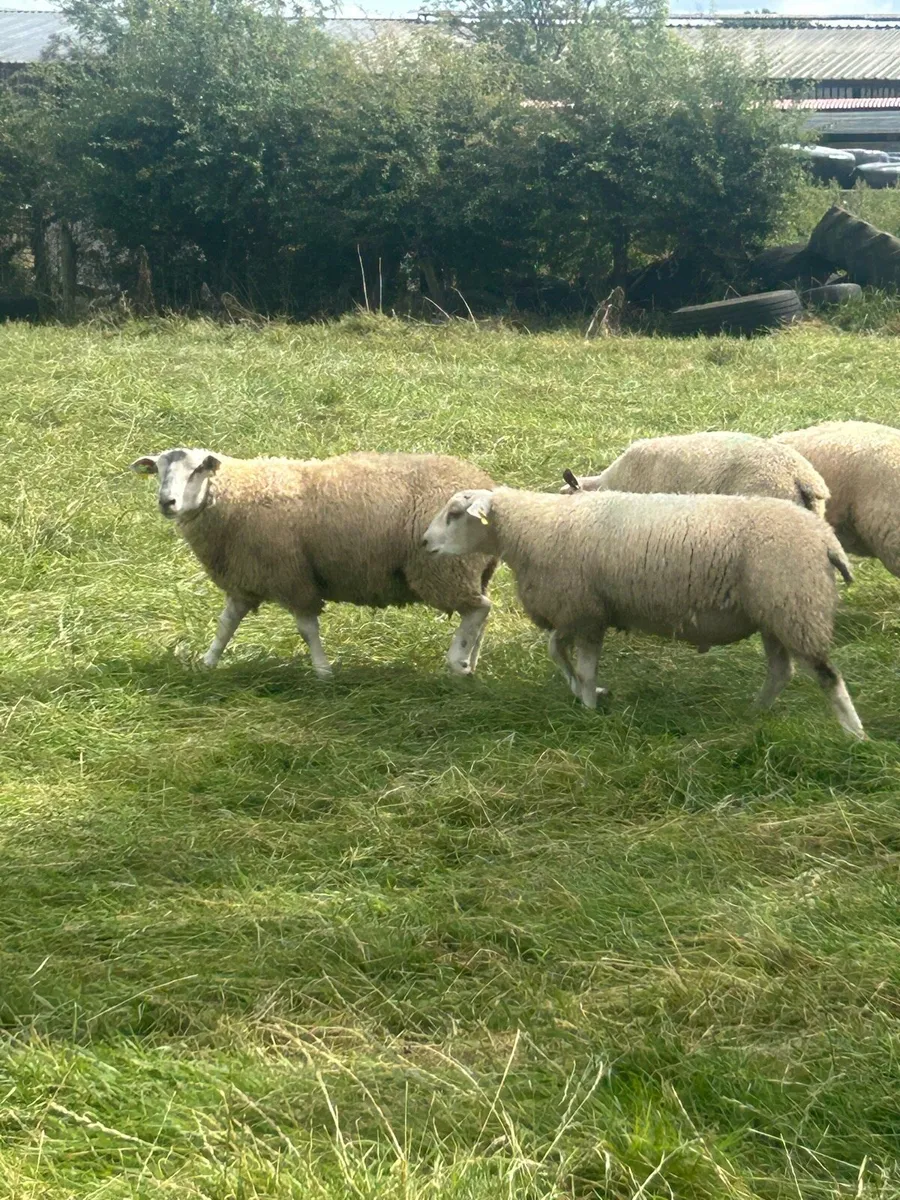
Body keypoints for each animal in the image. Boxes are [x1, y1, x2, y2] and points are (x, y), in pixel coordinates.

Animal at [130, 448, 497, 677]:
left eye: (197, 470)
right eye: (158, 470)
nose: (167, 502)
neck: (236, 493)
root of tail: (488, 489)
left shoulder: (292, 578)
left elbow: (307, 630)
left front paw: (323, 672)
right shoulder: (244, 579)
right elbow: (226, 625)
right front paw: (208, 663)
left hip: (443, 568)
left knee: (478, 610)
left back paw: (456, 663)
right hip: (473, 570)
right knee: (479, 617)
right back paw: (470, 664)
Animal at [422, 486, 865, 738]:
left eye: (455, 514)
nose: (424, 542)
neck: (534, 528)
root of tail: (825, 539)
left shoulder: (586, 612)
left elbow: (584, 666)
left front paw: (589, 709)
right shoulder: (580, 609)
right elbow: (556, 651)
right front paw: (586, 692)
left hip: (796, 604)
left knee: (828, 676)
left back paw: (855, 736)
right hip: (773, 613)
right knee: (780, 672)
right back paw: (752, 715)